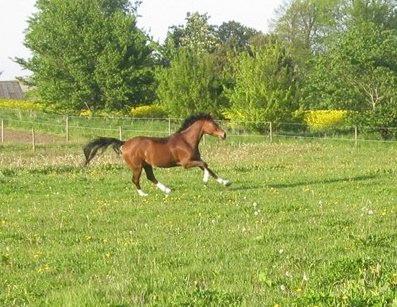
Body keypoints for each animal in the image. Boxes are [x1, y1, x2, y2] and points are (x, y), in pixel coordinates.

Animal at [84, 113, 232, 197]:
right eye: (214, 124)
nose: (224, 134)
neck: (187, 141)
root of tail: (124, 144)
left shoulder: (195, 159)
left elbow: (208, 168)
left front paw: (226, 182)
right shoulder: (186, 163)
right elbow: (205, 165)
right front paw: (205, 180)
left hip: (147, 165)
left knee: (150, 177)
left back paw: (167, 190)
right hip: (137, 166)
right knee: (135, 180)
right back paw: (144, 194)